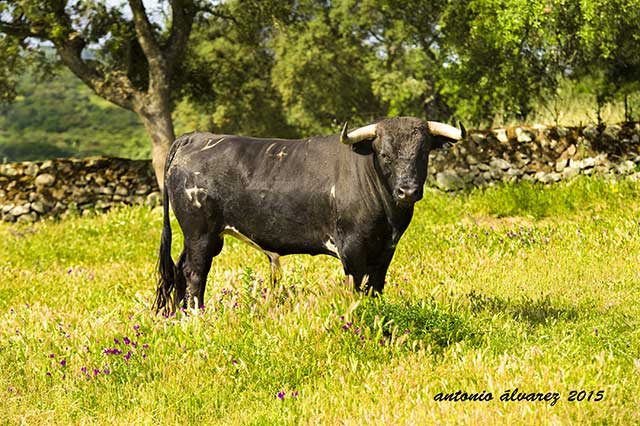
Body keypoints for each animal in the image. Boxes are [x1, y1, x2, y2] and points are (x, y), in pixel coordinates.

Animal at [155, 116, 464, 312]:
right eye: (385, 155)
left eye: (423, 153)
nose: (407, 191)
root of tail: (195, 137)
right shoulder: (352, 248)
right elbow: (357, 287)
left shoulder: (385, 250)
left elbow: (375, 287)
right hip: (200, 233)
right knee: (195, 273)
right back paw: (196, 316)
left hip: (202, 236)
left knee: (180, 269)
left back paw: (179, 314)